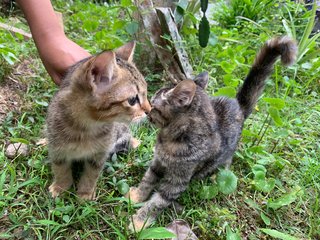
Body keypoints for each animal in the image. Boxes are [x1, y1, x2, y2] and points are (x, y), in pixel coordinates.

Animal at [46, 41, 151, 201]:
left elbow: (91, 175)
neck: (85, 127)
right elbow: (60, 169)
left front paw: (85, 193)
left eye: (145, 94)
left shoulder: (100, 154)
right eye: (133, 100)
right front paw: (60, 187)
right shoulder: (57, 150)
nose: (150, 110)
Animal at [127, 36, 298, 230]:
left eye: (154, 106)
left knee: (227, 162)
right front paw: (136, 197)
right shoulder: (157, 162)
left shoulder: (177, 181)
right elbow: (147, 179)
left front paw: (139, 221)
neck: (169, 138)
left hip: (226, 154)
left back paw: (217, 175)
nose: (147, 112)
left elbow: (157, 202)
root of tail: (239, 106)